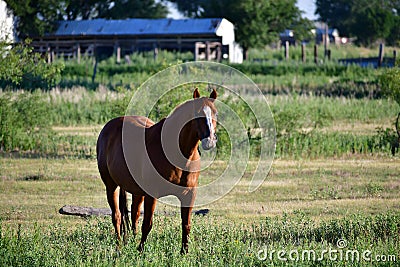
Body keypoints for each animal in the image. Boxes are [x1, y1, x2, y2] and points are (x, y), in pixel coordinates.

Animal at [97, 89, 219, 254]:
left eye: (215, 113)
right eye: (197, 113)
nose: (210, 141)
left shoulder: (189, 194)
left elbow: (186, 225)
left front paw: (184, 253)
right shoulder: (151, 194)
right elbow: (147, 224)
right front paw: (140, 250)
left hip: (136, 191)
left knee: (134, 213)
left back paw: (131, 240)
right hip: (111, 186)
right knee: (117, 216)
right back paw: (119, 246)